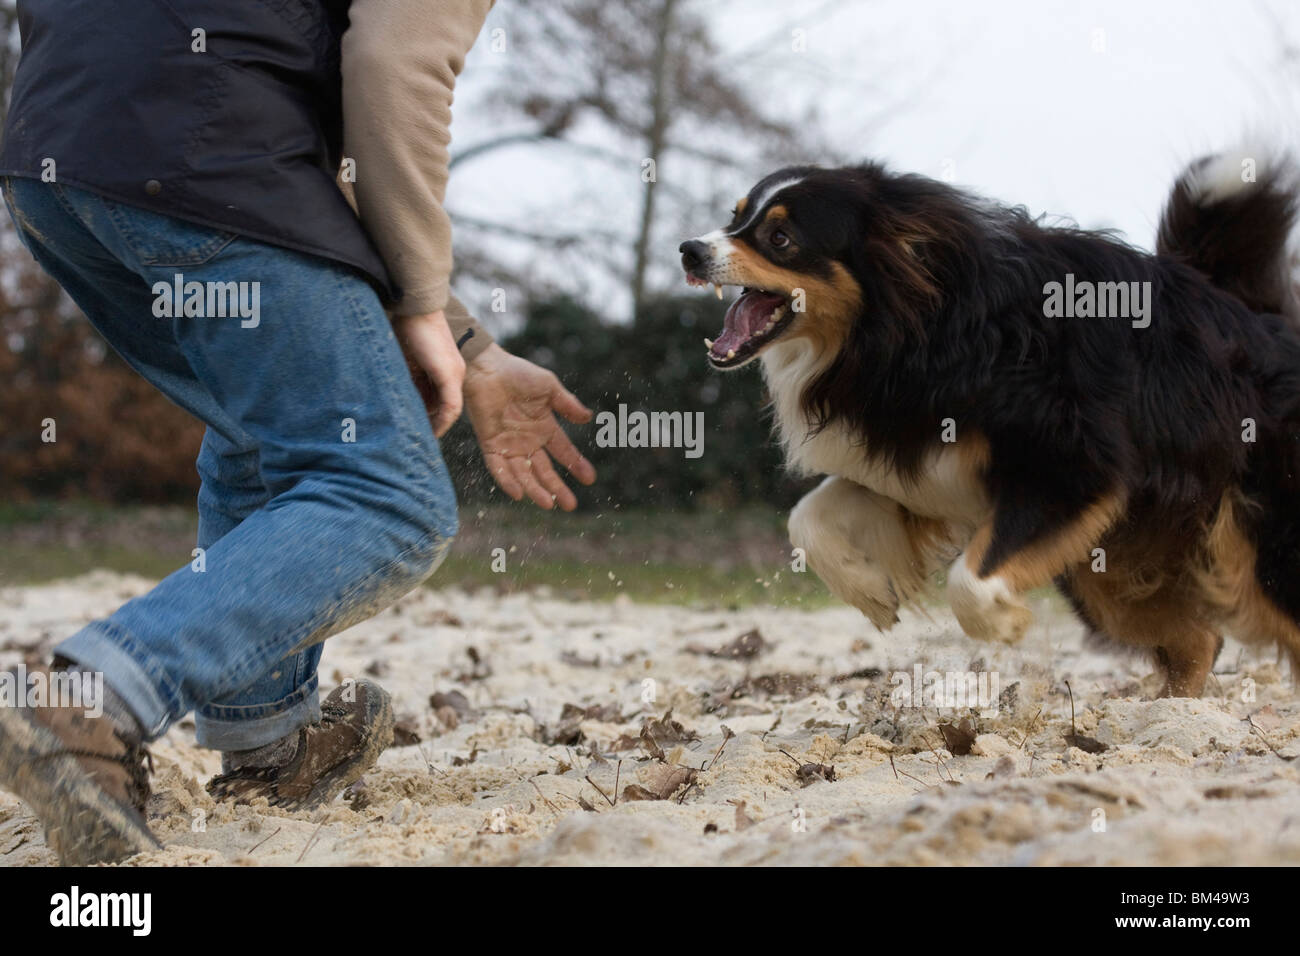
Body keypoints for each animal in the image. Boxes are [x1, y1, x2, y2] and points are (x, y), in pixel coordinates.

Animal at [681, 149, 1300, 697]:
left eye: (780, 239)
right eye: (736, 218)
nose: (689, 250)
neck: (916, 328)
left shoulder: (1070, 462)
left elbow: (970, 580)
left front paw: (1003, 624)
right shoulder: (912, 458)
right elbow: (807, 516)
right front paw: (872, 590)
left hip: (1249, 540)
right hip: (1105, 564)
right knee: (1197, 639)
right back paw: (1169, 715)